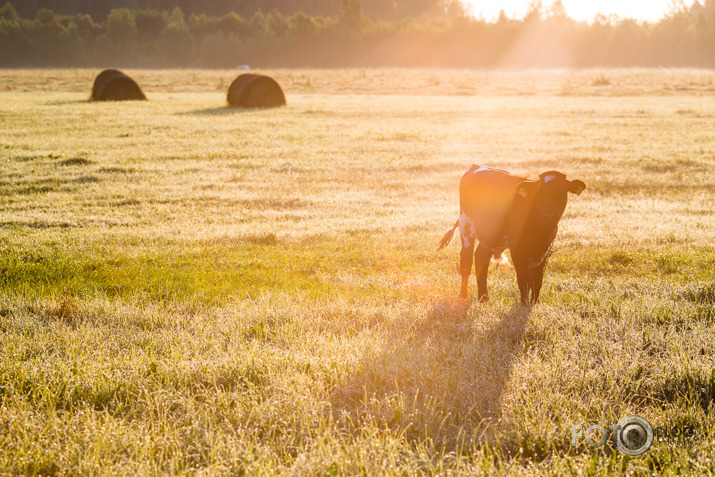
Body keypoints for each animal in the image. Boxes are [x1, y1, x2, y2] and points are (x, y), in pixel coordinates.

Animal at [436, 165, 588, 304]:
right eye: (540, 193)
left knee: (481, 258)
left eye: (561, 192)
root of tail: (476, 167)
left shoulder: (544, 251)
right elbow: (524, 279)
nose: (549, 216)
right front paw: (524, 304)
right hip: (466, 224)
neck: (539, 231)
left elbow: (537, 280)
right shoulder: (517, 249)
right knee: (466, 262)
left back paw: (484, 298)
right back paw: (464, 296)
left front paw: (535, 303)